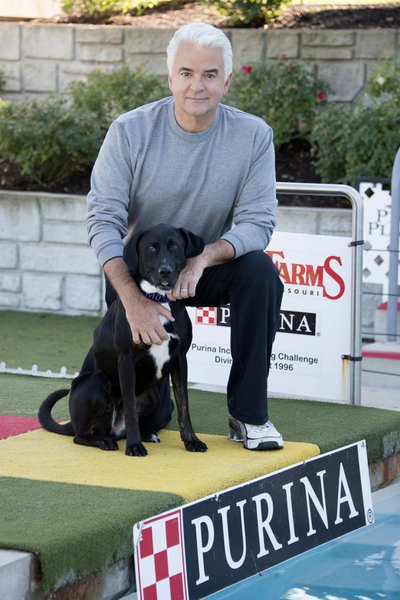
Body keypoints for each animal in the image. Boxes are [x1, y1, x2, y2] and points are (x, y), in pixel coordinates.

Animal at [38, 223, 208, 458]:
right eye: (151, 248)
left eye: (174, 246)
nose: (165, 271)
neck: (158, 300)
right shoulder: (126, 360)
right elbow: (129, 407)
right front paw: (134, 446)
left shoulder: (180, 359)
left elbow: (184, 406)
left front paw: (191, 441)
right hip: (97, 383)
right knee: (80, 436)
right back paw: (105, 441)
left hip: (152, 396)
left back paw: (145, 434)